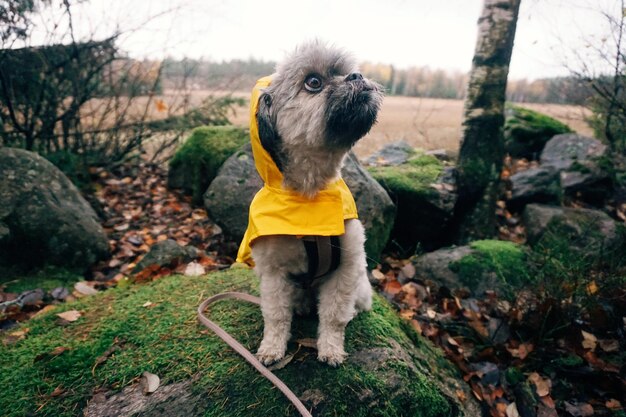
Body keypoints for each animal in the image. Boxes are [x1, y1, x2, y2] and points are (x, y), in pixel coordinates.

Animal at [236, 40, 382, 366]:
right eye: (313, 82)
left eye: (345, 71)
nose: (356, 75)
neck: (309, 195)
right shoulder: (273, 274)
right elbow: (276, 316)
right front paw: (272, 348)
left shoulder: (346, 267)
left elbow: (334, 315)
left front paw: (330, 349)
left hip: (361, 285)